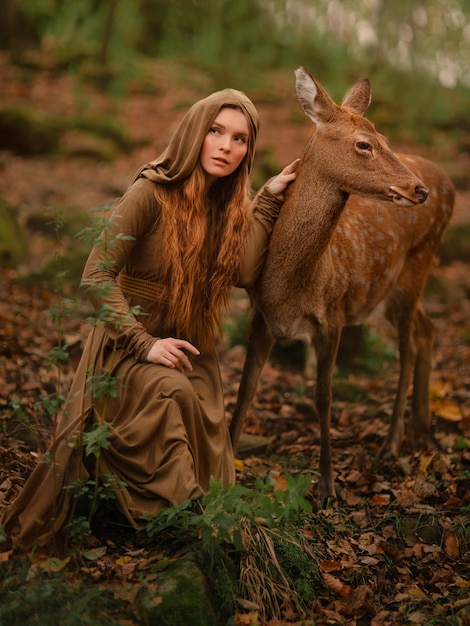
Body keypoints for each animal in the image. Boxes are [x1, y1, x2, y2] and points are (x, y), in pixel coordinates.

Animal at [230, 66, 456, 500]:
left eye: (386, 140)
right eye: (364, 143)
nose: (418, 189)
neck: (294, 284)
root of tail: (449, 182)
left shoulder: (332, 315)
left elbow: (323, 396)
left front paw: (327, 483)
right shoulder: (260, 315)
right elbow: (246, 386)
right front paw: (225, 466)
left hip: (416, 268)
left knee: (409, 346)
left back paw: (392, 444)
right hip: (389, 293)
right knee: (429, 329)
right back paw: (422, 430)